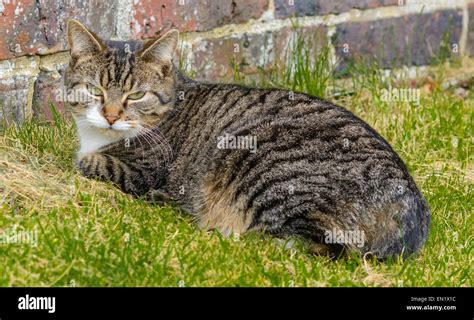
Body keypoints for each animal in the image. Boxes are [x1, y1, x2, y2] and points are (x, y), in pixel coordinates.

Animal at [65, 20, 432, 258]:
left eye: (137, 95)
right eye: (95, 90)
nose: (111, 115)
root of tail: (410, 208)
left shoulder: (140, 169)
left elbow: (86, 161)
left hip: (270, 172)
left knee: (316, 246)